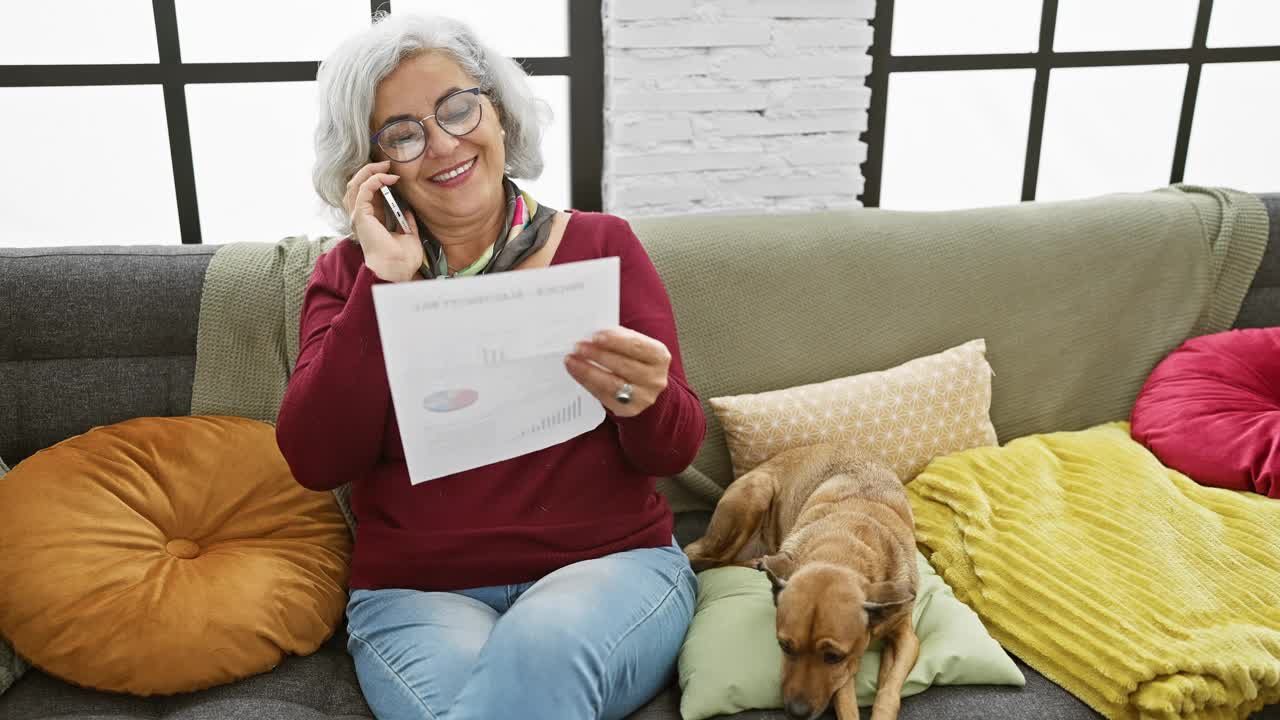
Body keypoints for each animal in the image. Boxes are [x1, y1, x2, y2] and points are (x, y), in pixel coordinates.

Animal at [691, 443, 921, 717]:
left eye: (833, 656)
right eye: (784, 646)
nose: (796, 712)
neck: (845, 546)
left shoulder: (906, 637)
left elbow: (889, 687)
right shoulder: (845, 672)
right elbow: (846, 700)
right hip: (754, 496)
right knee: (703, 558)